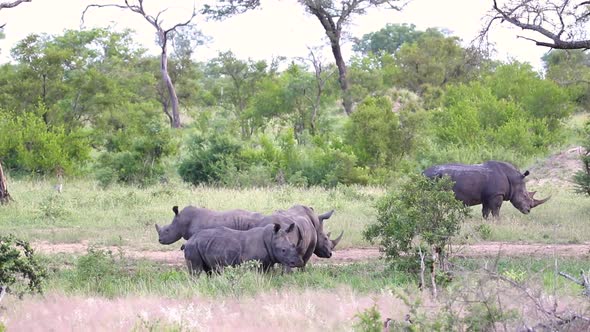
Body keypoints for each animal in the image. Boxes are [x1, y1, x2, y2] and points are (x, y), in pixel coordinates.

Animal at [424, 160, 552, 219]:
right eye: (525, 196)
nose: (528, 211)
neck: (513, 179)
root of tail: (422, 173)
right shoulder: (496, 195)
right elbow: (496, 210)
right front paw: (498, 222)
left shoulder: (488, 196)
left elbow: (486, 211)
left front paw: (486, 222)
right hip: (432, 178)